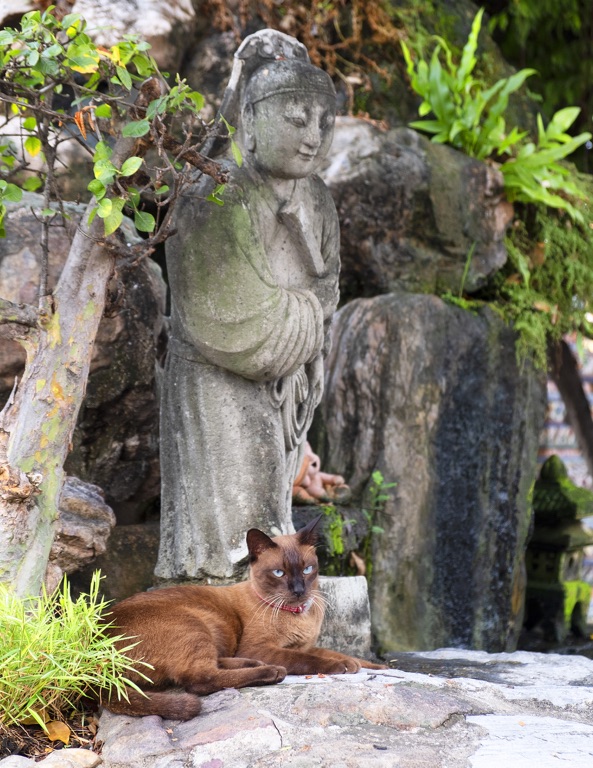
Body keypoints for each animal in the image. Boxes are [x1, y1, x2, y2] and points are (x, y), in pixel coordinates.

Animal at [104, 516, 384, 720]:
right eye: (279, 573)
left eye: (307, 569)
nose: (298, 590)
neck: (297, 615)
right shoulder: (264, 647)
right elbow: (308, 660)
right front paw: (343, 667)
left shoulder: (305, 644)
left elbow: (334, 653)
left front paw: (371, 665)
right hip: (194, 624)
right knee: (199, 680)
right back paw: (270, 672)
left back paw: (252, 664)